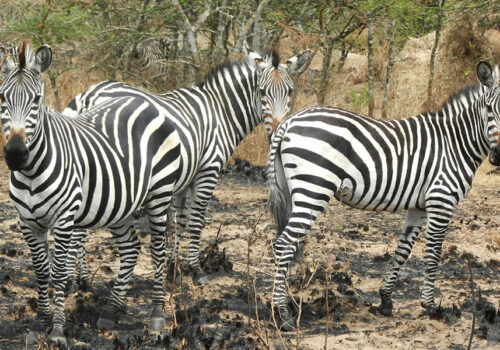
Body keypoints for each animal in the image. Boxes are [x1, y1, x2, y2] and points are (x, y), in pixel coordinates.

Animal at [0, 42, 184, 346]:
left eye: (37, 100)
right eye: (3, 98)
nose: (15, 154)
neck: (31, 171)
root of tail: (146, 100)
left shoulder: (63, 221)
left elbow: (58, 273)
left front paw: (58, 331)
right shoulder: (27, 223)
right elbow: (41, 272)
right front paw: (40, 323)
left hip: (160, 194)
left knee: (157, 251)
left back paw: (157, 318)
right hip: (121, 203)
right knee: (131, 248)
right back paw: (110, 311)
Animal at [64, 45, 310, 284]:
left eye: (290, 91)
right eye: (261, 92)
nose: (277, 131)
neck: (220, 112)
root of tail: (88, 95)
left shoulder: (184, 176)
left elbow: (180, 220)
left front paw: (173, 268)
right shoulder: (208, 170)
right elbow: (196, 220)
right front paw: (196, 269)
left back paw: (78, 279)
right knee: (79, 231)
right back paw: (78, 281)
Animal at [268, 61, 500, 330]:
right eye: (488, 109)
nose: (498, 156)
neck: (455, 142)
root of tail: (288, 122)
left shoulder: (419, 206)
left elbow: (403, 250)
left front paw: (385, 300)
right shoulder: (441, 199)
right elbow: (433, 254)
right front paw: (430, 305)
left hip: (292, 189)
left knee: (286, 243)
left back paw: (288, 305)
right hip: (314, 189)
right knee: (283, 243)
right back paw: (283, 314)